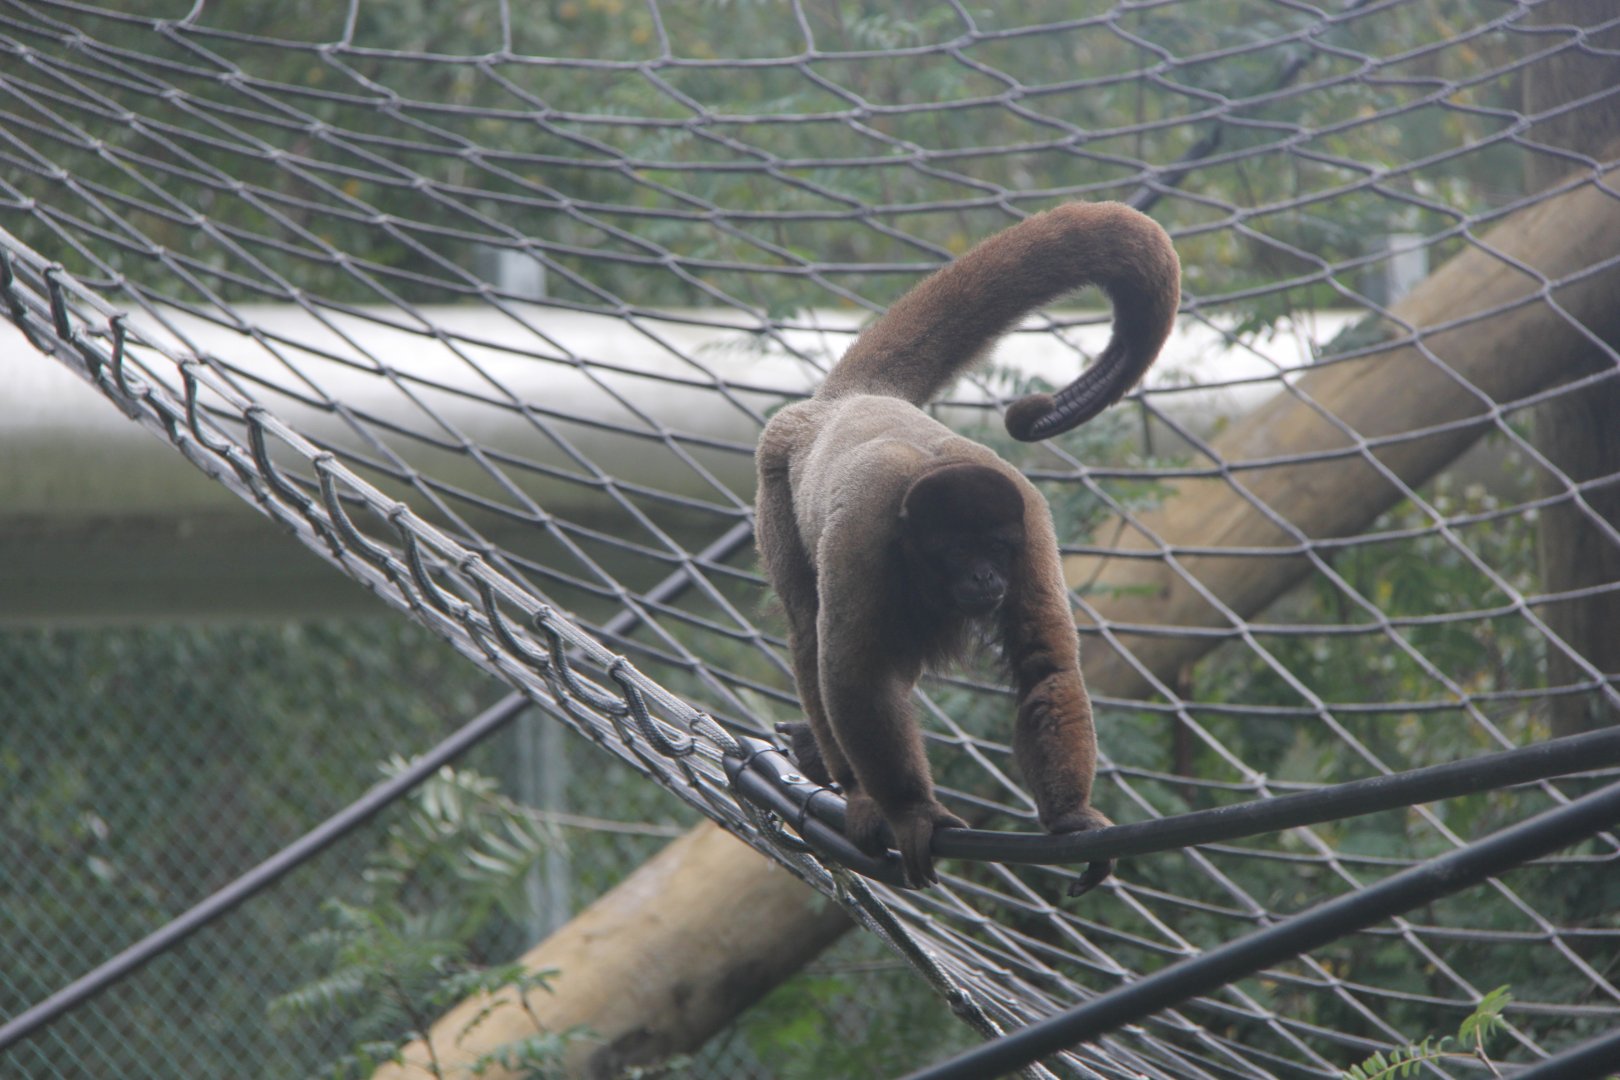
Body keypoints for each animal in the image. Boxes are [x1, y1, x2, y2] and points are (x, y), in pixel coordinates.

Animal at [754, 202, 1180, 892]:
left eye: (997, 549)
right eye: (957, 552)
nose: (985, 580)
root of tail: (850, 399)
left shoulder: (1031, 527)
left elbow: (1044, 664)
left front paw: (1070, 818)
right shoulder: (864, 536)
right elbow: (853, 673)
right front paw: (911, 812)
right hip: (773, 472)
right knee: (805, 625)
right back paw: (856, 790)